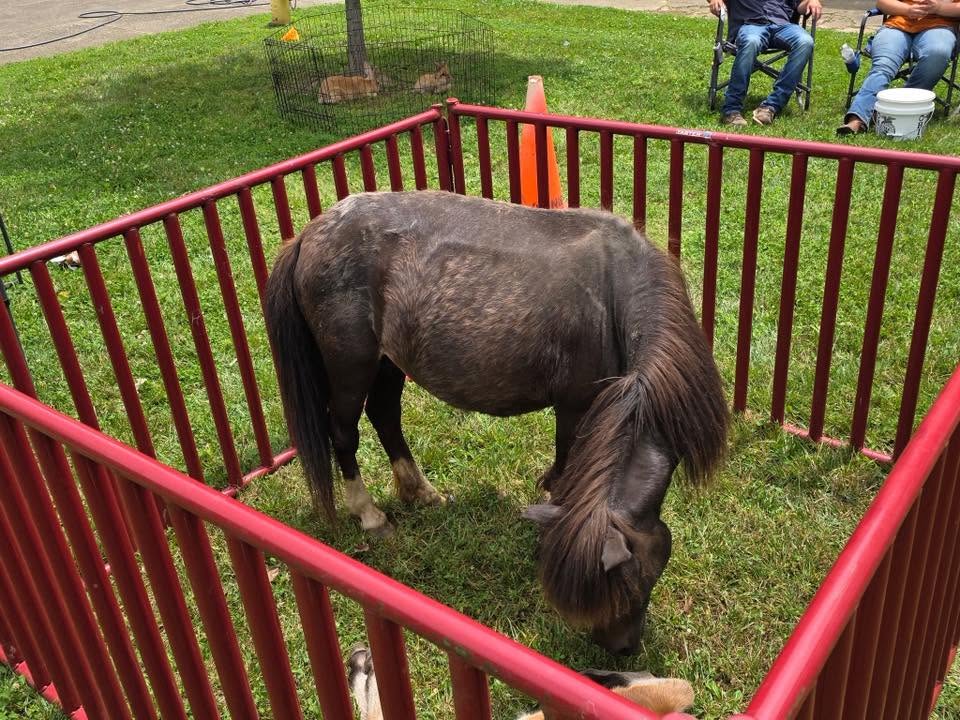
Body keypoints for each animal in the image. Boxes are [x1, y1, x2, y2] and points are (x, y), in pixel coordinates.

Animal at [264, 190, 728, 655]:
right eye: (629, 581)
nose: (621, 648)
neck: (615, 296)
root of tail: (307, 236)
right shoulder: (574, 406)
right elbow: (566, 471)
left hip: (388, 360)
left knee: (385, 415)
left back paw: (421, 492)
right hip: (350, 365)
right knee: (344, 433)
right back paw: (370, 516)